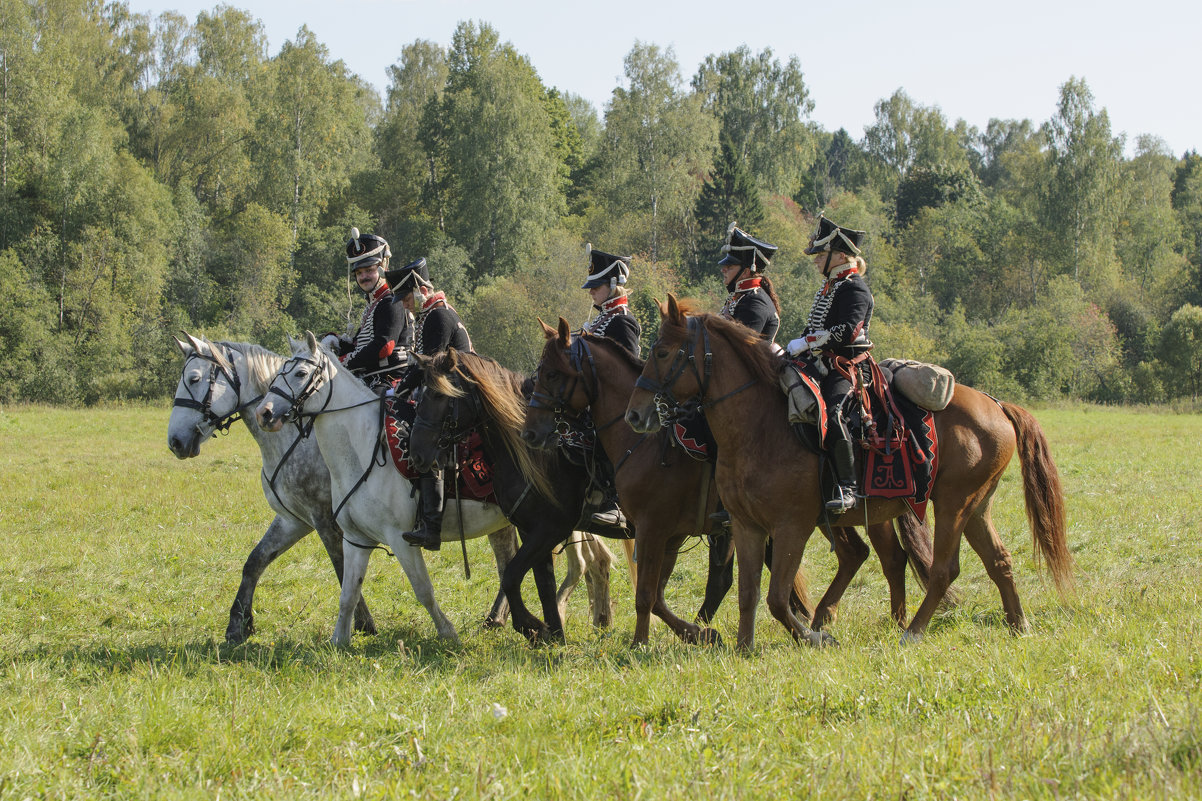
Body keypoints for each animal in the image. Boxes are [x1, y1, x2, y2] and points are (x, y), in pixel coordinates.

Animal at [256, 329, 593, 644]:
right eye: (280, 371)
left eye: (300, 373)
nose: (264, 413)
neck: (362, 449)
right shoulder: (355, 539)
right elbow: (348, 594)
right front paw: (340, 640)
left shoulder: (401, 539)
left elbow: (423, 590)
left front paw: (448, 633)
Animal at [521, 317, 932, 644]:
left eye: (552, 373)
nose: (531, 433)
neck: (644, 443)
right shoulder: (672, 534)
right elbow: (656, 596)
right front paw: (699, 633)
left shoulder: (656, 528)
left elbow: (648, 595)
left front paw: (649, 642)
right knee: (865, 555)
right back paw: (835, 619)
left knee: (879, 557)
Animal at [625, 293, 1076, 649]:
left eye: (662, 352)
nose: (636, 414)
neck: (758, 426)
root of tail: (995, 403)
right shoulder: (744, 525)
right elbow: (749, 594)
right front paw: (742, 646)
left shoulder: (791, 526)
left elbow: (776, 598)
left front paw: (814, 636)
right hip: (976, 507)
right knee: (998, 560)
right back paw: (1018, 624)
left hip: (953, 505)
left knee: (942, 569)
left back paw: (911, 632)